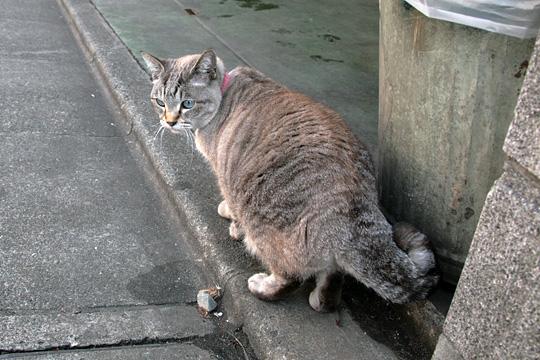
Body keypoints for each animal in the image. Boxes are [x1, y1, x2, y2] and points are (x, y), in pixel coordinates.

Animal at [141, 50, 436, 312]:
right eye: (160, 102)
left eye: (187, 104)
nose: (169, 121)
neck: (225, 92)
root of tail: (358, 211)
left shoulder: (224, 174)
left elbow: (230, 205)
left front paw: (230, 220)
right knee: (330, 286)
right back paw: (320, 298)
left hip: (262, 220)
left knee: (291, 276)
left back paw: (261, 285)